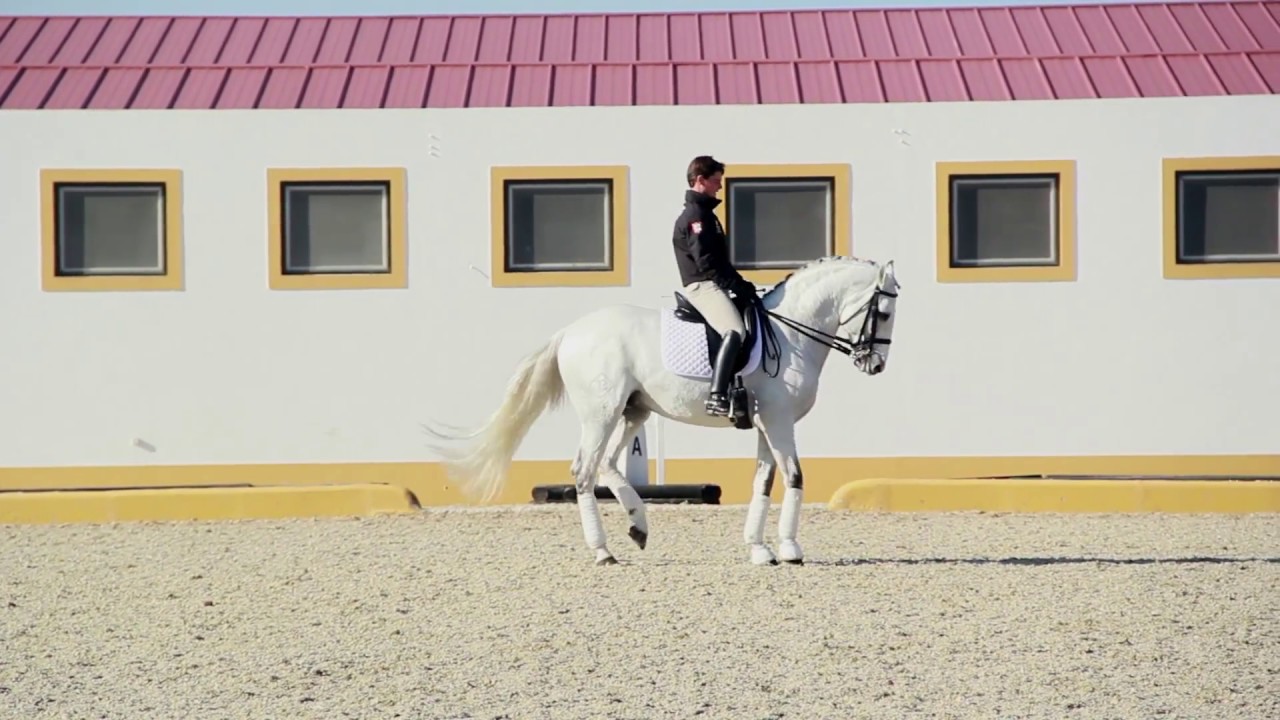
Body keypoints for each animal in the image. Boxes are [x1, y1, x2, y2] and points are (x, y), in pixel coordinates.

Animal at [424, 255, 901, 566]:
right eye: (883, 311)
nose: (875, 364)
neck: (790, 335)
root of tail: (571, 332)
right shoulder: (779, 421)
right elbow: (795, 476)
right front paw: (789, 548)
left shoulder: (766, 423)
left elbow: (763, 482)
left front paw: (759, 548)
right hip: (601, 412)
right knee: (584, 469)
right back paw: (603, 551)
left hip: (633, 412)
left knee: (609, 464)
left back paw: (638, 525)